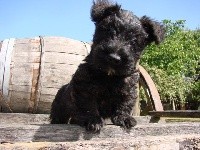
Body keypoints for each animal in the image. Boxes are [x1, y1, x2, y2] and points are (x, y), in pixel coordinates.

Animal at [49, 0, 164, 132]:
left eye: (134, 41)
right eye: (108, 31)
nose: (114, 57)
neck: (109, 76)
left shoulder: (128, 88)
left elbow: (125, 103)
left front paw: (124, 118)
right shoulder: (84, 88)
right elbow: (88, 106)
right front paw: (93, 120)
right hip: (59, 110)